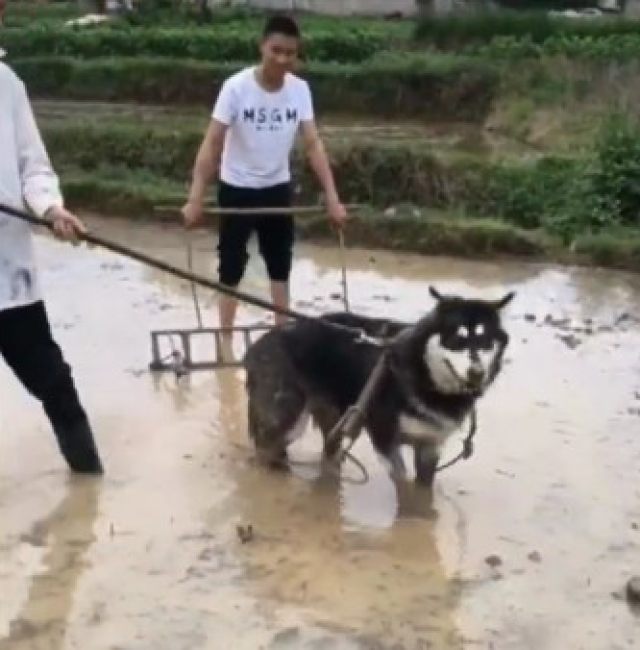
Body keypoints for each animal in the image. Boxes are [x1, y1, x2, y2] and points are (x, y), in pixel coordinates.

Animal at [241, 286, 516, 484]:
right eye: (456, 340)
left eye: (485, 340)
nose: (476, 373)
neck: (422, 374)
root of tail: (257, 345)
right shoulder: (385, 439)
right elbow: (404, 485)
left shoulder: (430, 446)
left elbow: (423, 490)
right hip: (288, 419)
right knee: (266, 448)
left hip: (335, 419)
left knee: (329, 452)